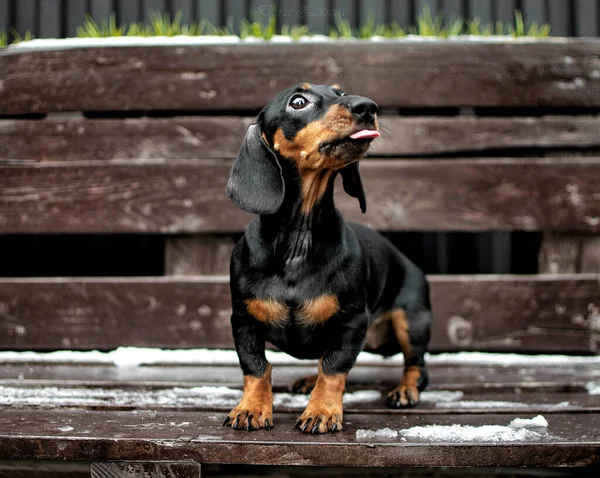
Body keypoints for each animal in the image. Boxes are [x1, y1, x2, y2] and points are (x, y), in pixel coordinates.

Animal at [221, 82, 432, 434]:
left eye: (341, 92)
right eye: (298, 101)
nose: (368, 107)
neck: (298, 243)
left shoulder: (352, 322)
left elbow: (333, 369)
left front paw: (321, 411)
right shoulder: (243, 320)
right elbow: (256, 367)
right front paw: (251, 408)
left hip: (411, 321)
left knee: (416, 366)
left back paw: (405, 390)